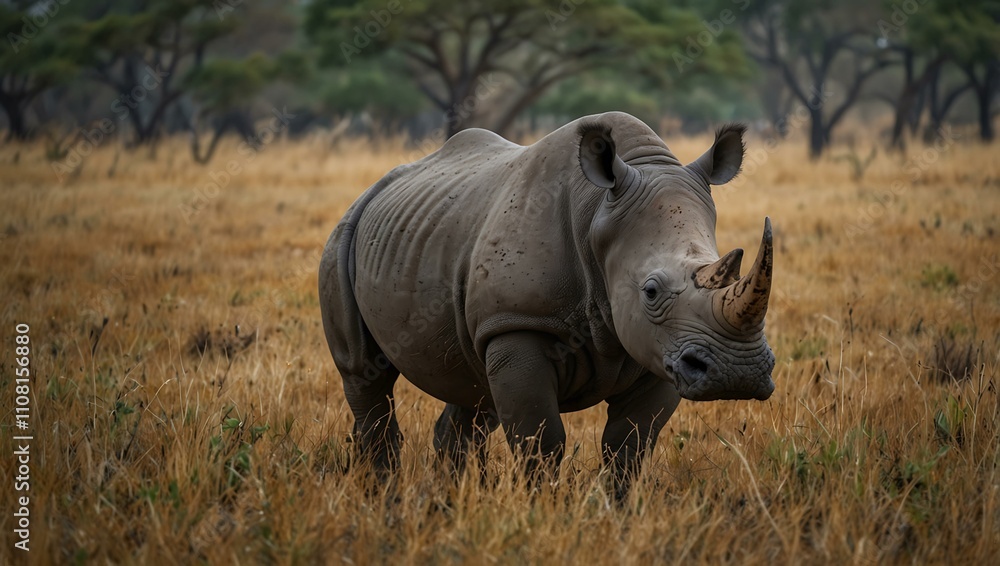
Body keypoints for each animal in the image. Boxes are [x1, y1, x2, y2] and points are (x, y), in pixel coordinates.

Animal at [319, 111, 775, 492]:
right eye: (651, 291)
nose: (737, 374)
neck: (598, 215)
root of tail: (375, 188)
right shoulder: (516, 324)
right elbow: (541, 442)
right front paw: (542, 509)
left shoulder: (661, 350)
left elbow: (629, 444)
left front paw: (618, 514)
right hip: (344, 235)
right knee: (365, 375)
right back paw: (385, 496)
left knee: (472, 391)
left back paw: (450, 503)